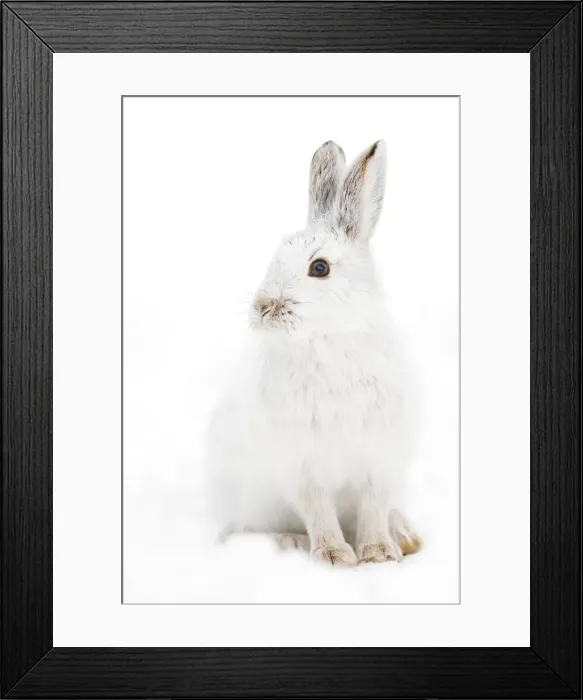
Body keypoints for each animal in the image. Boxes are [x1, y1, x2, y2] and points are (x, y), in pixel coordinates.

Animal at [205, 140, 422, 566]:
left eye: (319, 267)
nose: (262, 307)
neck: (328, 339)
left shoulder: (379, 459)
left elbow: (374, 506)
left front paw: (378, 553)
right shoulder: (302, 465)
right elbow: (318, 509)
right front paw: (334, 555)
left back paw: (405, 534)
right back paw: (289, 542)